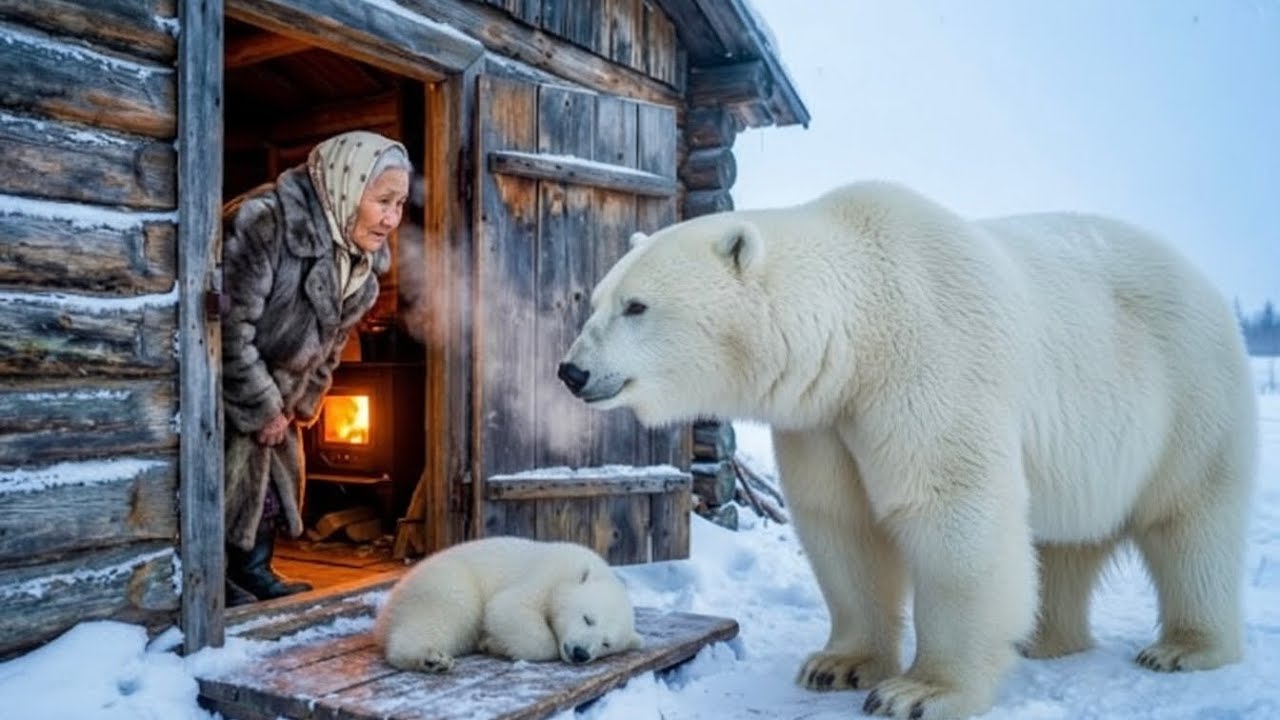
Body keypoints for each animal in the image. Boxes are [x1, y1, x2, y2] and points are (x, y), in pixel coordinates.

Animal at [374, 536, 644, 672]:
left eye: (607, 643)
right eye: (588, 618)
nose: (580, 653)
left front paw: (491, 643)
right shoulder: (546, 574)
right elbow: (507, 608)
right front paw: (492, 642)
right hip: (445, 583)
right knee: (446, 611)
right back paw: (431, 659)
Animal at [557, 181, 1256, 719]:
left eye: (637, 306)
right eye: (596, 298)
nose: (572, 370)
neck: (858, 321)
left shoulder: (929, 362)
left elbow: (950, 508)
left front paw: (921, 691)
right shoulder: (825, 417)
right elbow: (842, 524)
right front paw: (836, 665)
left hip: (1188, 393)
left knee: (1191, 522)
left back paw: (1183, 647)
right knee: (1065, 543)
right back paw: (1042, 639)